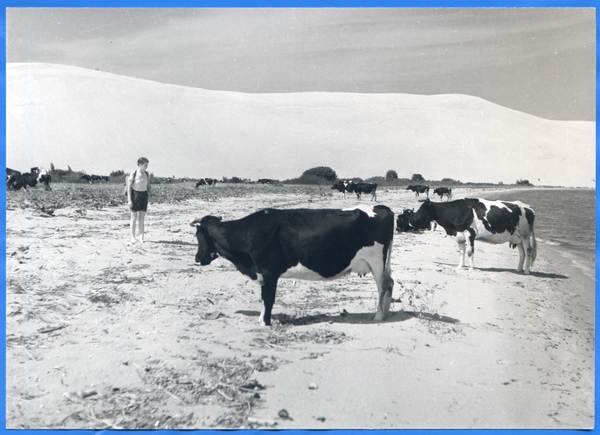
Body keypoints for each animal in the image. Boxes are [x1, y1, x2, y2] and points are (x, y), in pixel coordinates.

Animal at [192, 207, 396, 328]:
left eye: (198, 235)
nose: (197, 258)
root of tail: (382, 209)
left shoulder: (270, 272)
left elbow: (268, 298)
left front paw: (265, 323)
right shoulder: (263, 274)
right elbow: (264, 298)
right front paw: (261, 319)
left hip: (377, 262)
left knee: (383, 286)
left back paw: (378, 316)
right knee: (390, 283)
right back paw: (386, 314)